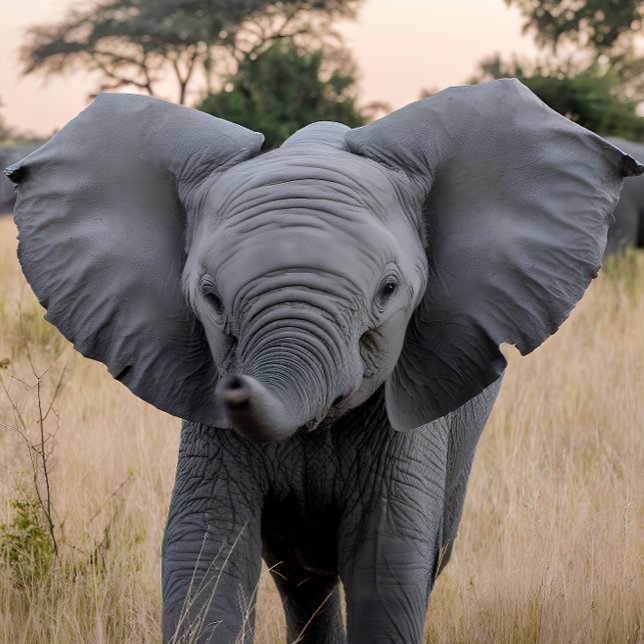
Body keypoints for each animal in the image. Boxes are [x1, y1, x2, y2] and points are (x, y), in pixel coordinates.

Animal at [6, 79, 641, 643]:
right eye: (210, 298)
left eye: (389, 290)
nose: (233, 388)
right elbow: (203, 547)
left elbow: (388, 566)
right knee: (300, 580)